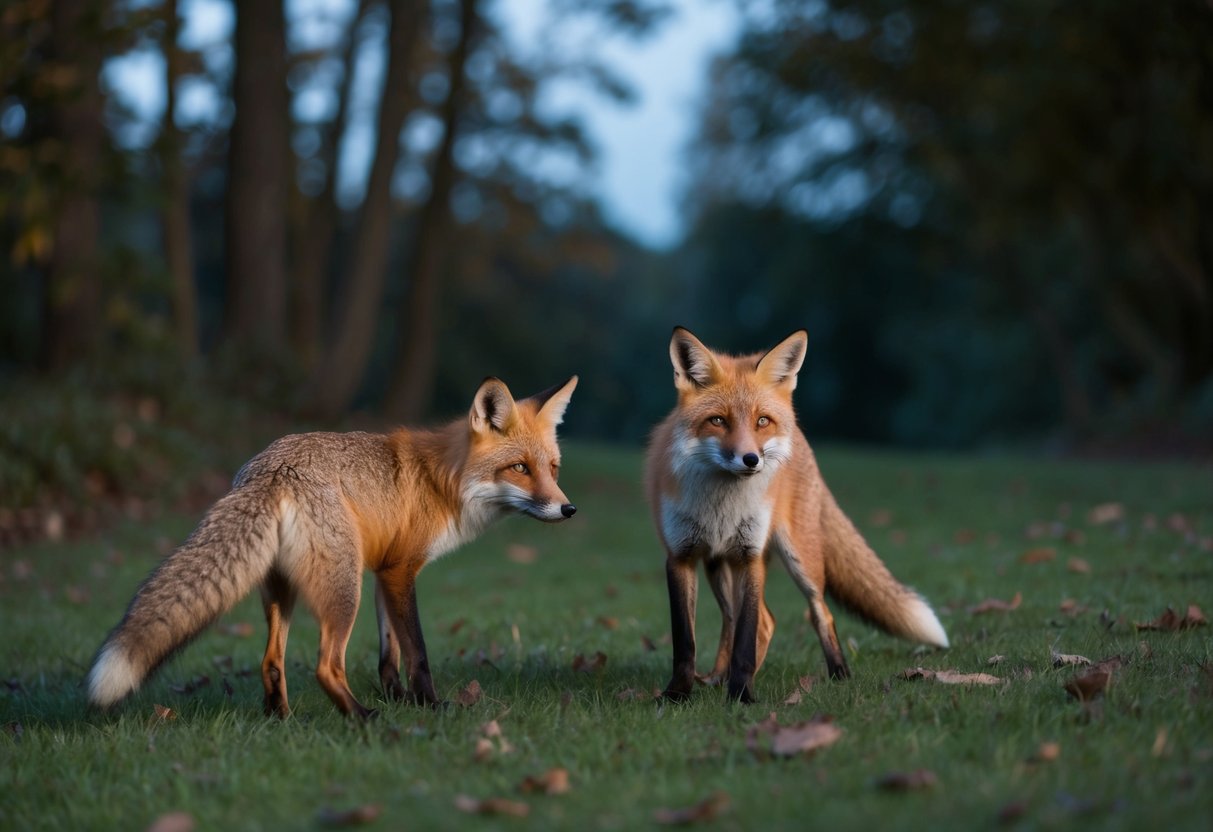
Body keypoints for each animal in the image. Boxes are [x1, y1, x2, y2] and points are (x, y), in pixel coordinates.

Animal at [88, 375, 579, 718]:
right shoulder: (400, 571)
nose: (568, 508)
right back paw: (362, 718)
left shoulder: (384, 571)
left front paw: (400, 698)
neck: (443, 480)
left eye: (553, 468)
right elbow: (417, 651)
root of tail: (271, 469)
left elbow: (388, 653)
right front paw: (429, 706)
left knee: (271, 660)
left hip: (282, 589)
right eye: (519, 468)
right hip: (344, 590)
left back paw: (282, 719)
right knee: (325, 664)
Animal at [645, 328, 948, 703]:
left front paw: (742, 696)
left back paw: (839, 674)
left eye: (761, 421)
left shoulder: (750, 556)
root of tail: (800, 435)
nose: (750, 460)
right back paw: (718, 677)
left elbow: (745, 640)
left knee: (817, 613)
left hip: (801, 558)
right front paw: (677, 695)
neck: (721, 506)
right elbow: (685, 641)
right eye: (717, 421)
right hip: (717, 564)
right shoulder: (680, 557)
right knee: (752, 621)